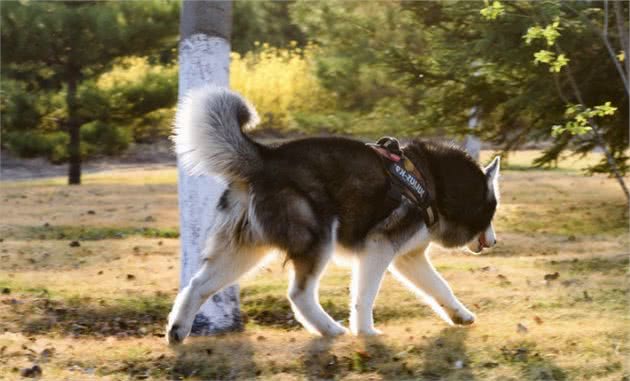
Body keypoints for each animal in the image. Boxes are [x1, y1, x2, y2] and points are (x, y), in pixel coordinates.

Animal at [168, 86, 504, 342]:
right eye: (492, 212)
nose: (495, 242)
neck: (434, 182)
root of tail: (267, 156)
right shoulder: (378, 248)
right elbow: (364, 297)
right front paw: (365, 332)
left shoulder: (409, 258)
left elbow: (440, 286)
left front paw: (460, 315)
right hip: (318, 238)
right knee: (299, 295)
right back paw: (329, 329)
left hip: (244, 252)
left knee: (196, 285)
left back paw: (177, 330)